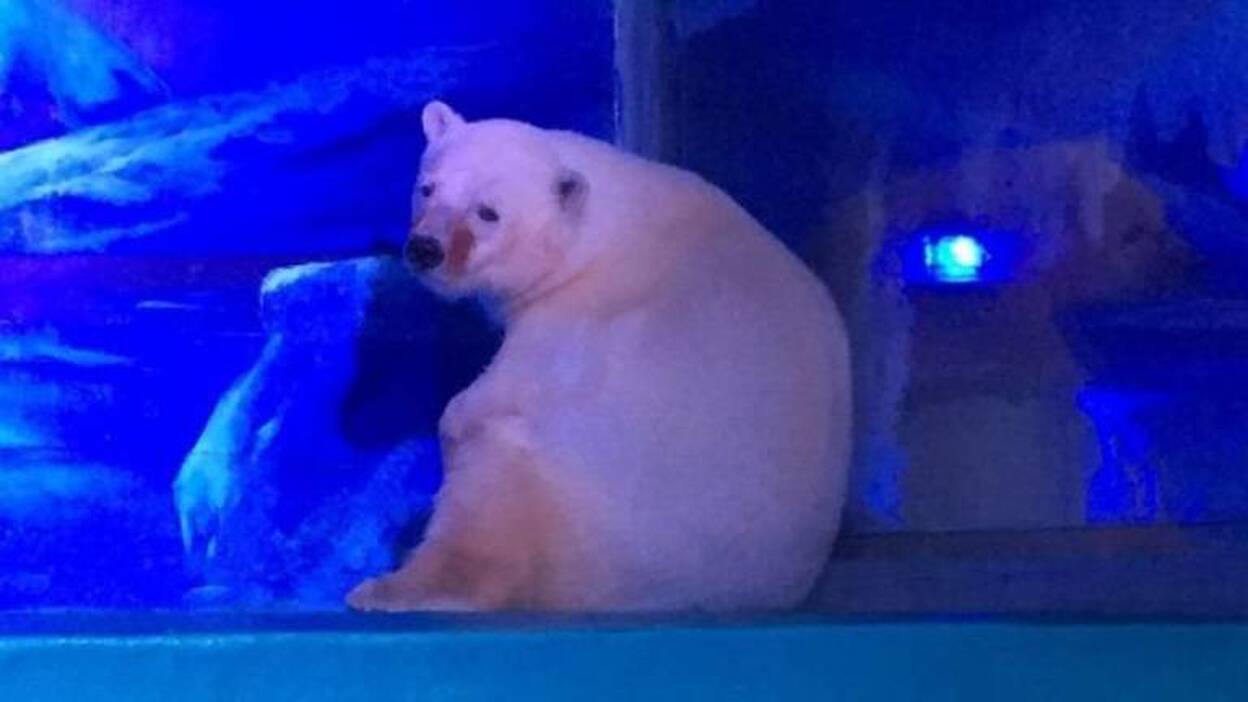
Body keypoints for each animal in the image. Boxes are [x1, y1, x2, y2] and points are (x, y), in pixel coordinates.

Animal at [346, 101, 851, 613]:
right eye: (427, 187)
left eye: (488, 212)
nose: (425, 248)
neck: (611, 228)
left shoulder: (580, 315)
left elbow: (511, 386)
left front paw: (453, 421)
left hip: (567, 494)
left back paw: (388, 587)